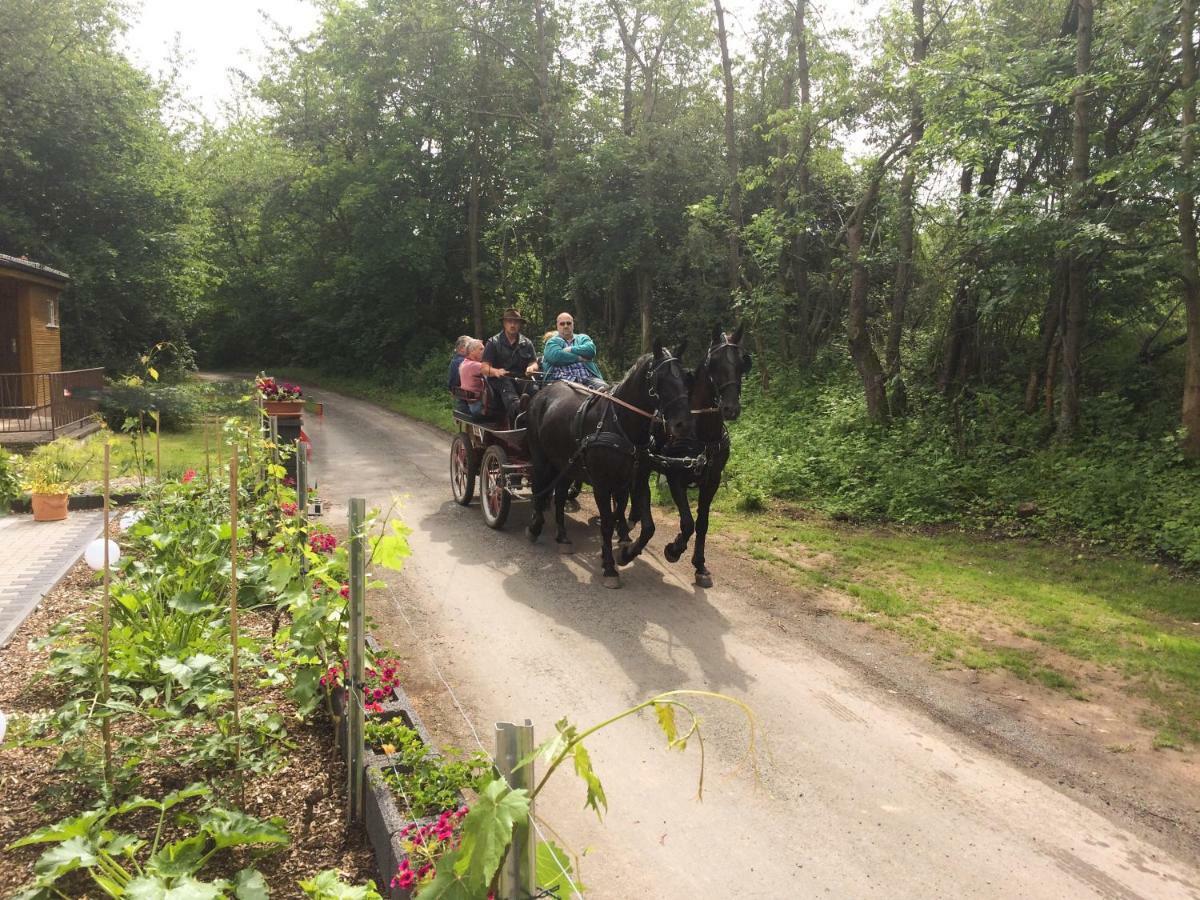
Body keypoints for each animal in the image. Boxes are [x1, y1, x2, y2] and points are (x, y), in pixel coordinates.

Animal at [528, 340, 696, 588]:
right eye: (660, 379)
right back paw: (535, 526)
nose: (683, 424)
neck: (621, 424)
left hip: (566, 463)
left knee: (558, 497)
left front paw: (626, 554)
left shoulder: (636, 482)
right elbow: (607, 524)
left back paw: (563, 536)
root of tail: (543, 392)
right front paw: (609, 567)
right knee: (539, 488)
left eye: (686, 378)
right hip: (540, 456)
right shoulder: (601, 485)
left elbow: (647, 528)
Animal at [619, 328, 748, 588]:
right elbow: (687, 523)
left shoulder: (712, 481)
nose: (730, 408)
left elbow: (702, 523)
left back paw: (632, 519)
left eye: (742, 363)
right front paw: (674, 549)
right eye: (713, 363)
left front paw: (700, 565)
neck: (702, 433)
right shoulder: (675, 476)